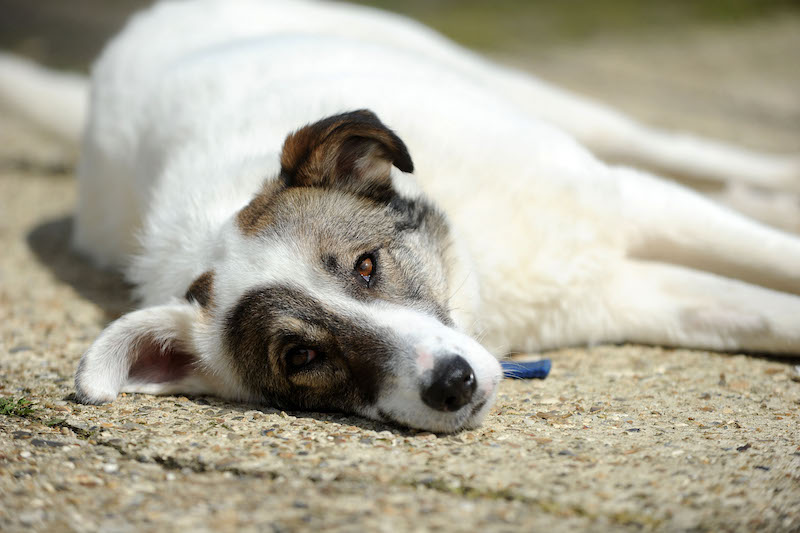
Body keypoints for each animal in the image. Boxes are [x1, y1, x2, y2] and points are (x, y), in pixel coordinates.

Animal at [3, 0, 799, 433]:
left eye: (366, 265)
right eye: (302, 357)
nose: (453, 384)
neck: (475, 277)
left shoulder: (631, 207)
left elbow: (773, 257)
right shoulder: (623, 296)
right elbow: (768, 312)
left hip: (521, 94)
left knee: (669, 146)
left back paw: (770, 186)